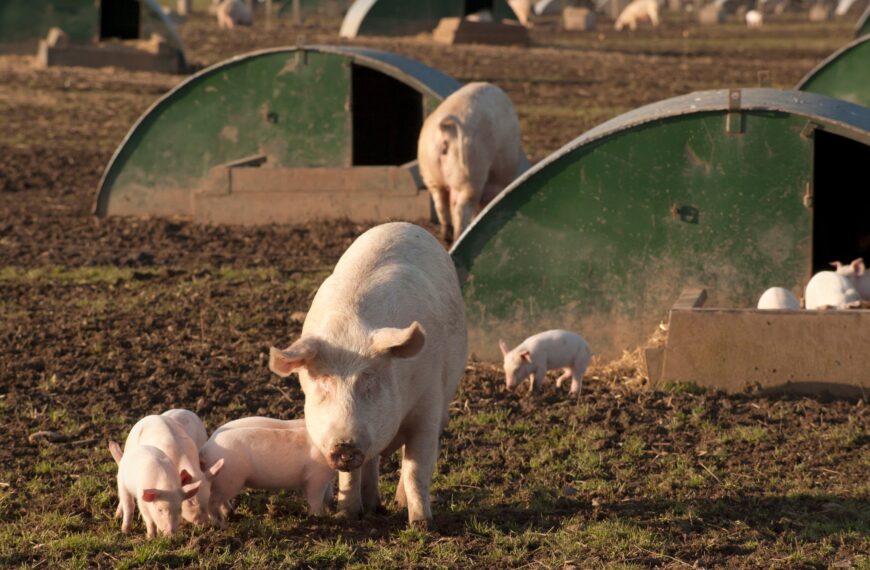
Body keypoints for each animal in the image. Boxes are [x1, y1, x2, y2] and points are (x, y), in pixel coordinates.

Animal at [199, 426, 335, 525]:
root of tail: (206, 448)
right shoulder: (317, 476)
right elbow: (315, 499)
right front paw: (318, 517)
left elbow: (327, 495)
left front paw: (330, 511)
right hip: (229, 479)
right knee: (212, 501)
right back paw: (220, 524)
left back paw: (231, 514)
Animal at [269, 222, 468, 525]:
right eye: (323, 382)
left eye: (369, 381)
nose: (344, 445)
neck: (350, 335)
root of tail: (401, 224)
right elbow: (350, 476)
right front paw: (347, 515)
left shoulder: (428, 403)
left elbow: (416, 468)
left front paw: (421, 523)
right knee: (372, 462)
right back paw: (373, 506)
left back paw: (397, 503)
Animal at [418, 82, 528, 244]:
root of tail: (446, 128)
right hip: (470, 170)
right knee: (461, 208)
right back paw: (459, 236)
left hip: (430, 171)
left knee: (441, 205)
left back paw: (447, 238)